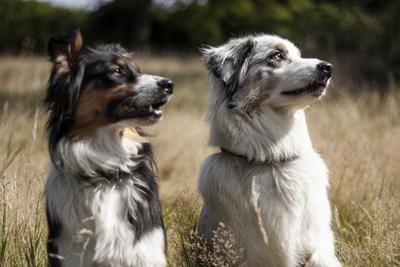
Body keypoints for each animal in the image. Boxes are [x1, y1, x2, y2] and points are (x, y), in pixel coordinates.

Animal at [44, 31, 173, 267]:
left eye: (137, 70)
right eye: (117, 71)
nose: (169, 84)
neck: (105, 176)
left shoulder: (146, 253)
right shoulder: (70, 254)